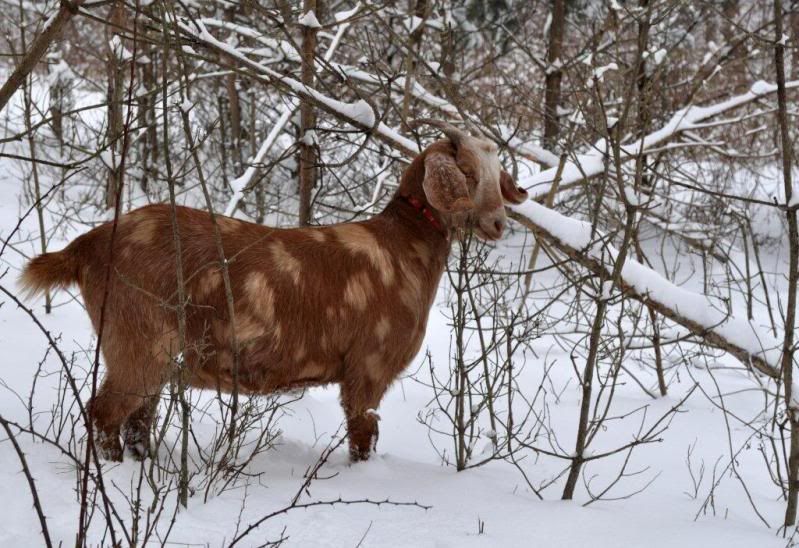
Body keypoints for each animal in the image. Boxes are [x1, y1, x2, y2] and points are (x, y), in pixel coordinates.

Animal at [20, 121, 528, 462]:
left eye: (496, 171)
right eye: (466, 172)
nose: (498, 224)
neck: (402, 247)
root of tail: (85, 246)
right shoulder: (368, 367)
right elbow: (362, 433)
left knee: (137, 418)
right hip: (137, 342)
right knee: (105, 412)